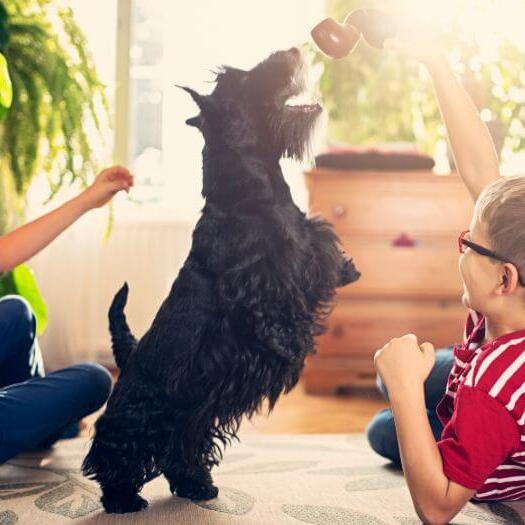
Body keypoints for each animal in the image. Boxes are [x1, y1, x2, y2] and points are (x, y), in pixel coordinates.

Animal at [82, 47, 360, 512]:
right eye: (239, 78)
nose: (293, 52)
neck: (251, 190)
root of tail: (132, 355)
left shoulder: (310, 248)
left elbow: (325, 262)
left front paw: (348, 270)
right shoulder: (256, 281)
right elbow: (271, 311)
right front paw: (288, 343)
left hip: (191, 414)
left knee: (180, 451)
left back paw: (197, 484)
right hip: (138, 415)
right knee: (113, 453)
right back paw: (123, 498)